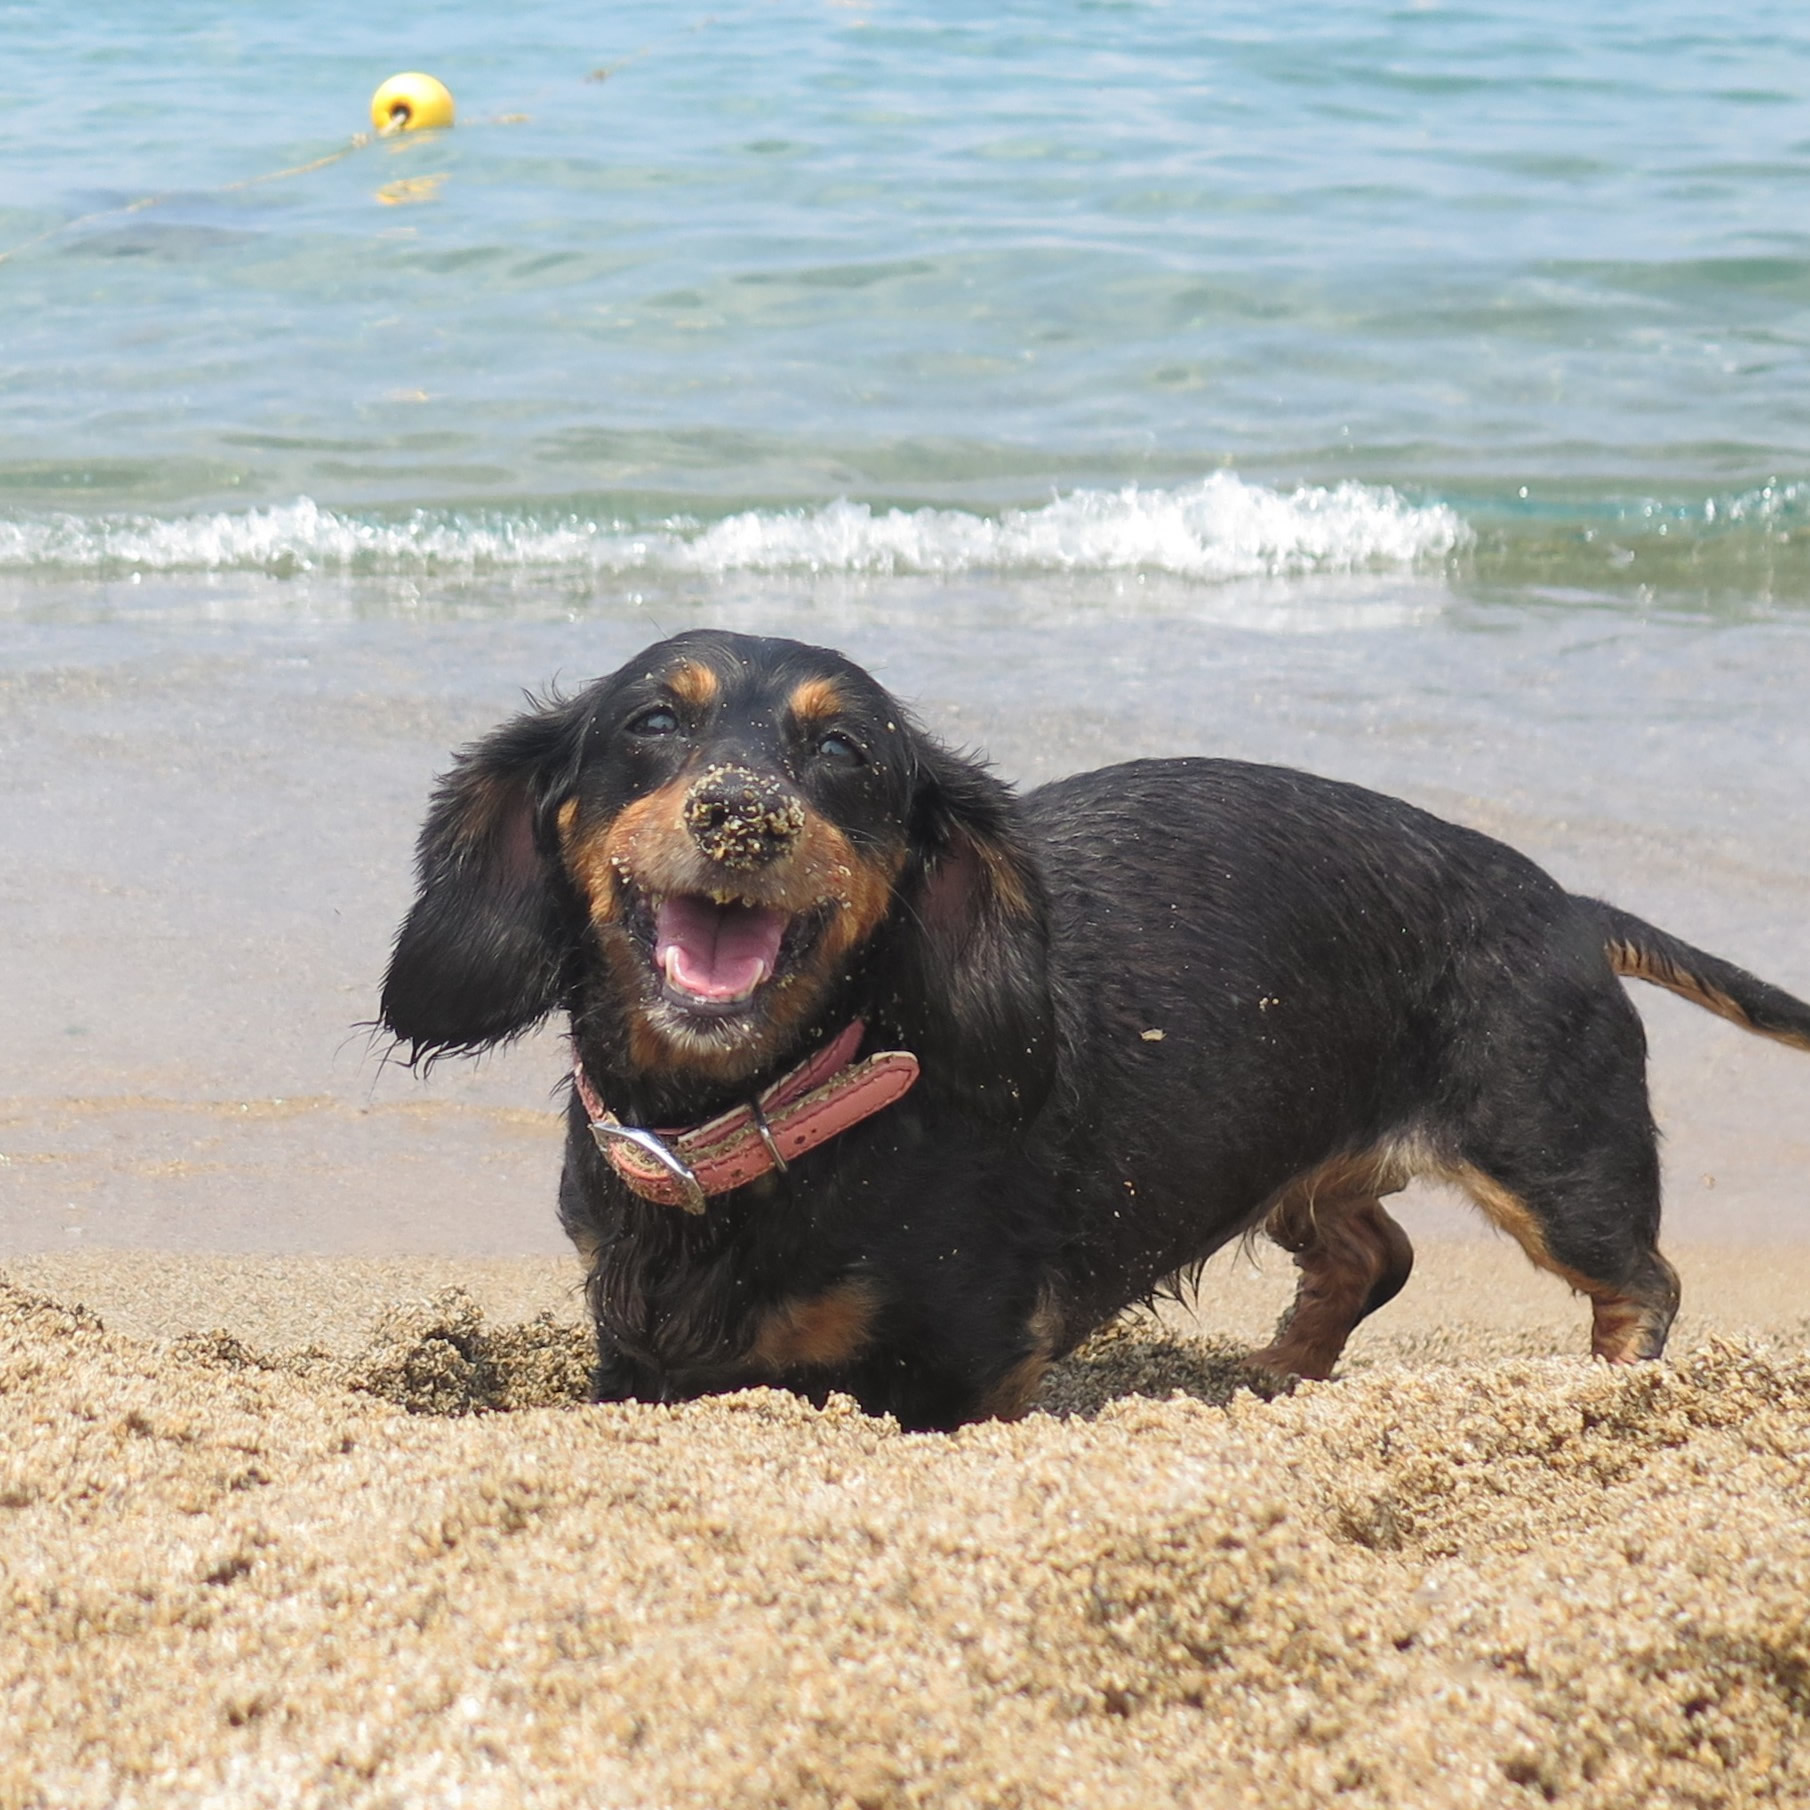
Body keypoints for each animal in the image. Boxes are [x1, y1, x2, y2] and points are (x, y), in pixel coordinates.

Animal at [381, 629, 1810, 1433]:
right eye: (651, 722)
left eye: (845, 752)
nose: (743, 814)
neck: (755, 1117)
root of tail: (1568, 903)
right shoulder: (635, 1351)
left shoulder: (962, 1359)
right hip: (1289, 1149)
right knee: (1374, 1253)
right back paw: (1266, 1377)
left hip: (1551, 1154)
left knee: (1643, 1281)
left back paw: (1604, 1391)